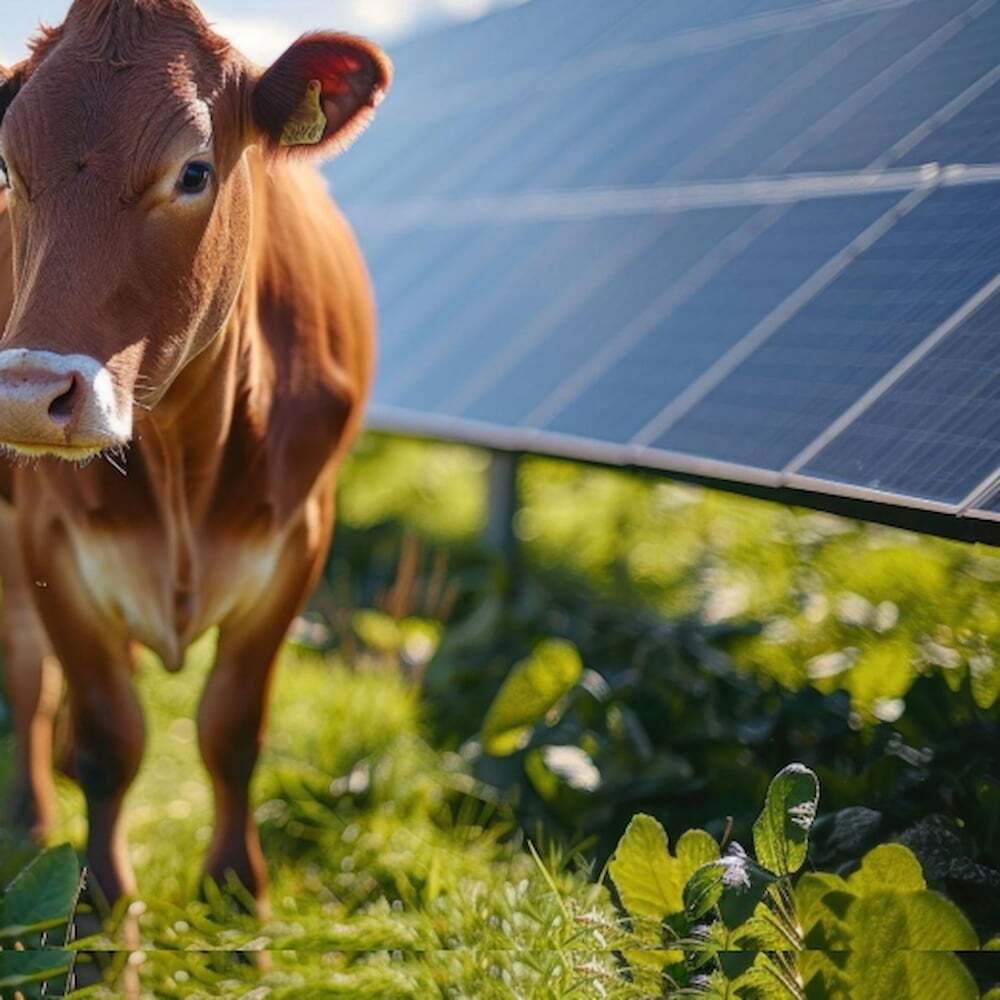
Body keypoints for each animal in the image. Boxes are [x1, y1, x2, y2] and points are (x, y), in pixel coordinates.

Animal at [0, 0, 390, 915]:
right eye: (8, 168)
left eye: (193, 171)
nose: (30, 396)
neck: (185, 446)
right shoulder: (50, 545)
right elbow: (109, 740)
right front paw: (100, 915)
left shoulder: (299, 542)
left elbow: (232, 728)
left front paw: (237, 892)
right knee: (29, 682)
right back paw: (32, 817)